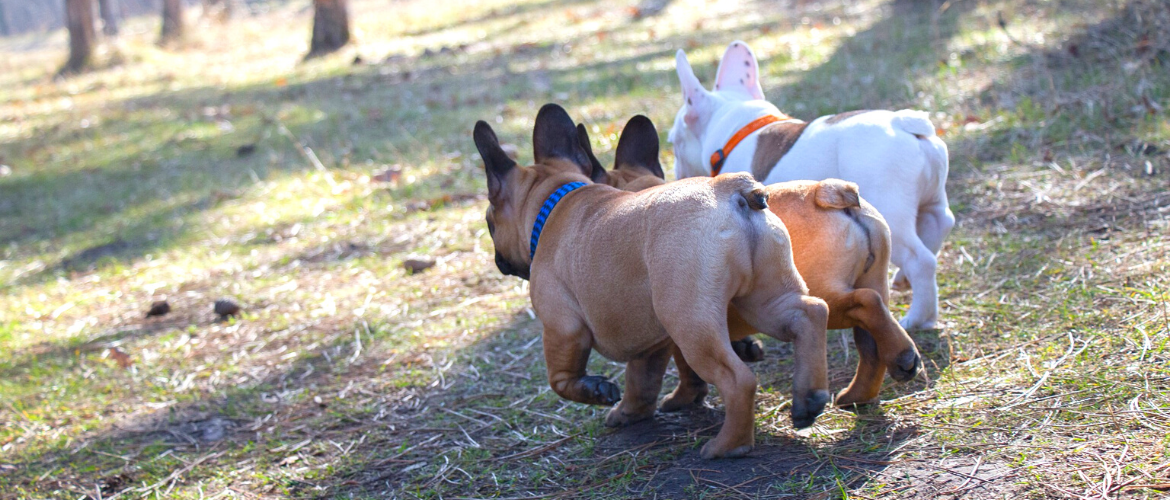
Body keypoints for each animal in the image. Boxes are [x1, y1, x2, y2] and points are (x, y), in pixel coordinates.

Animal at [673, 40, 954, 330]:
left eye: (674, 142)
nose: (675, 171)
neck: (737, 129)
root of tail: (903, 123)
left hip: (891, 212)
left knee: (921, 260)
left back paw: (918, 317)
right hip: (932, 200)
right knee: (941, 225)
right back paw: (905, 281)